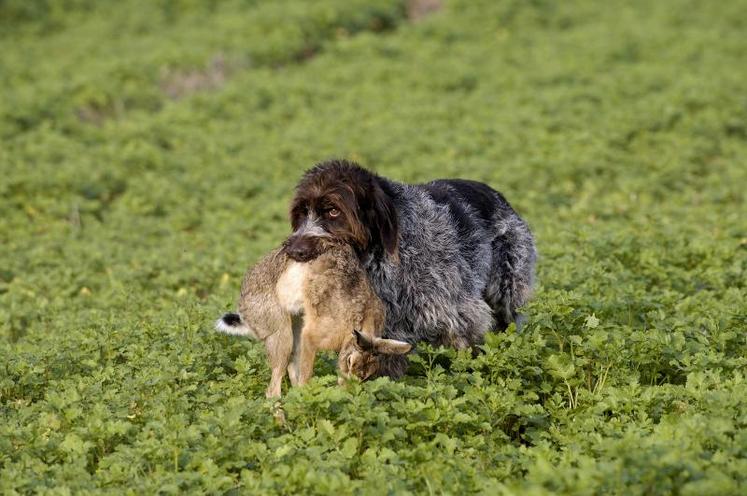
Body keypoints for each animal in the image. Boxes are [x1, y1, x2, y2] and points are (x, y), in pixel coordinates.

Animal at [213, 242, 412, 398]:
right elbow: (307, 372)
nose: (347, 391)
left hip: (296, 326)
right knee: (273, 389)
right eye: (350, 362)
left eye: (367, 375)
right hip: (281, 332)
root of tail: (244, 304)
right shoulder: (311, 338)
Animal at [284, 159, 536, 376]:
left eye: (333, 211)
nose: (294, 251)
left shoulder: (461, 316)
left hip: (507, 288)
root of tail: (497, 194)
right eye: (301, 212)